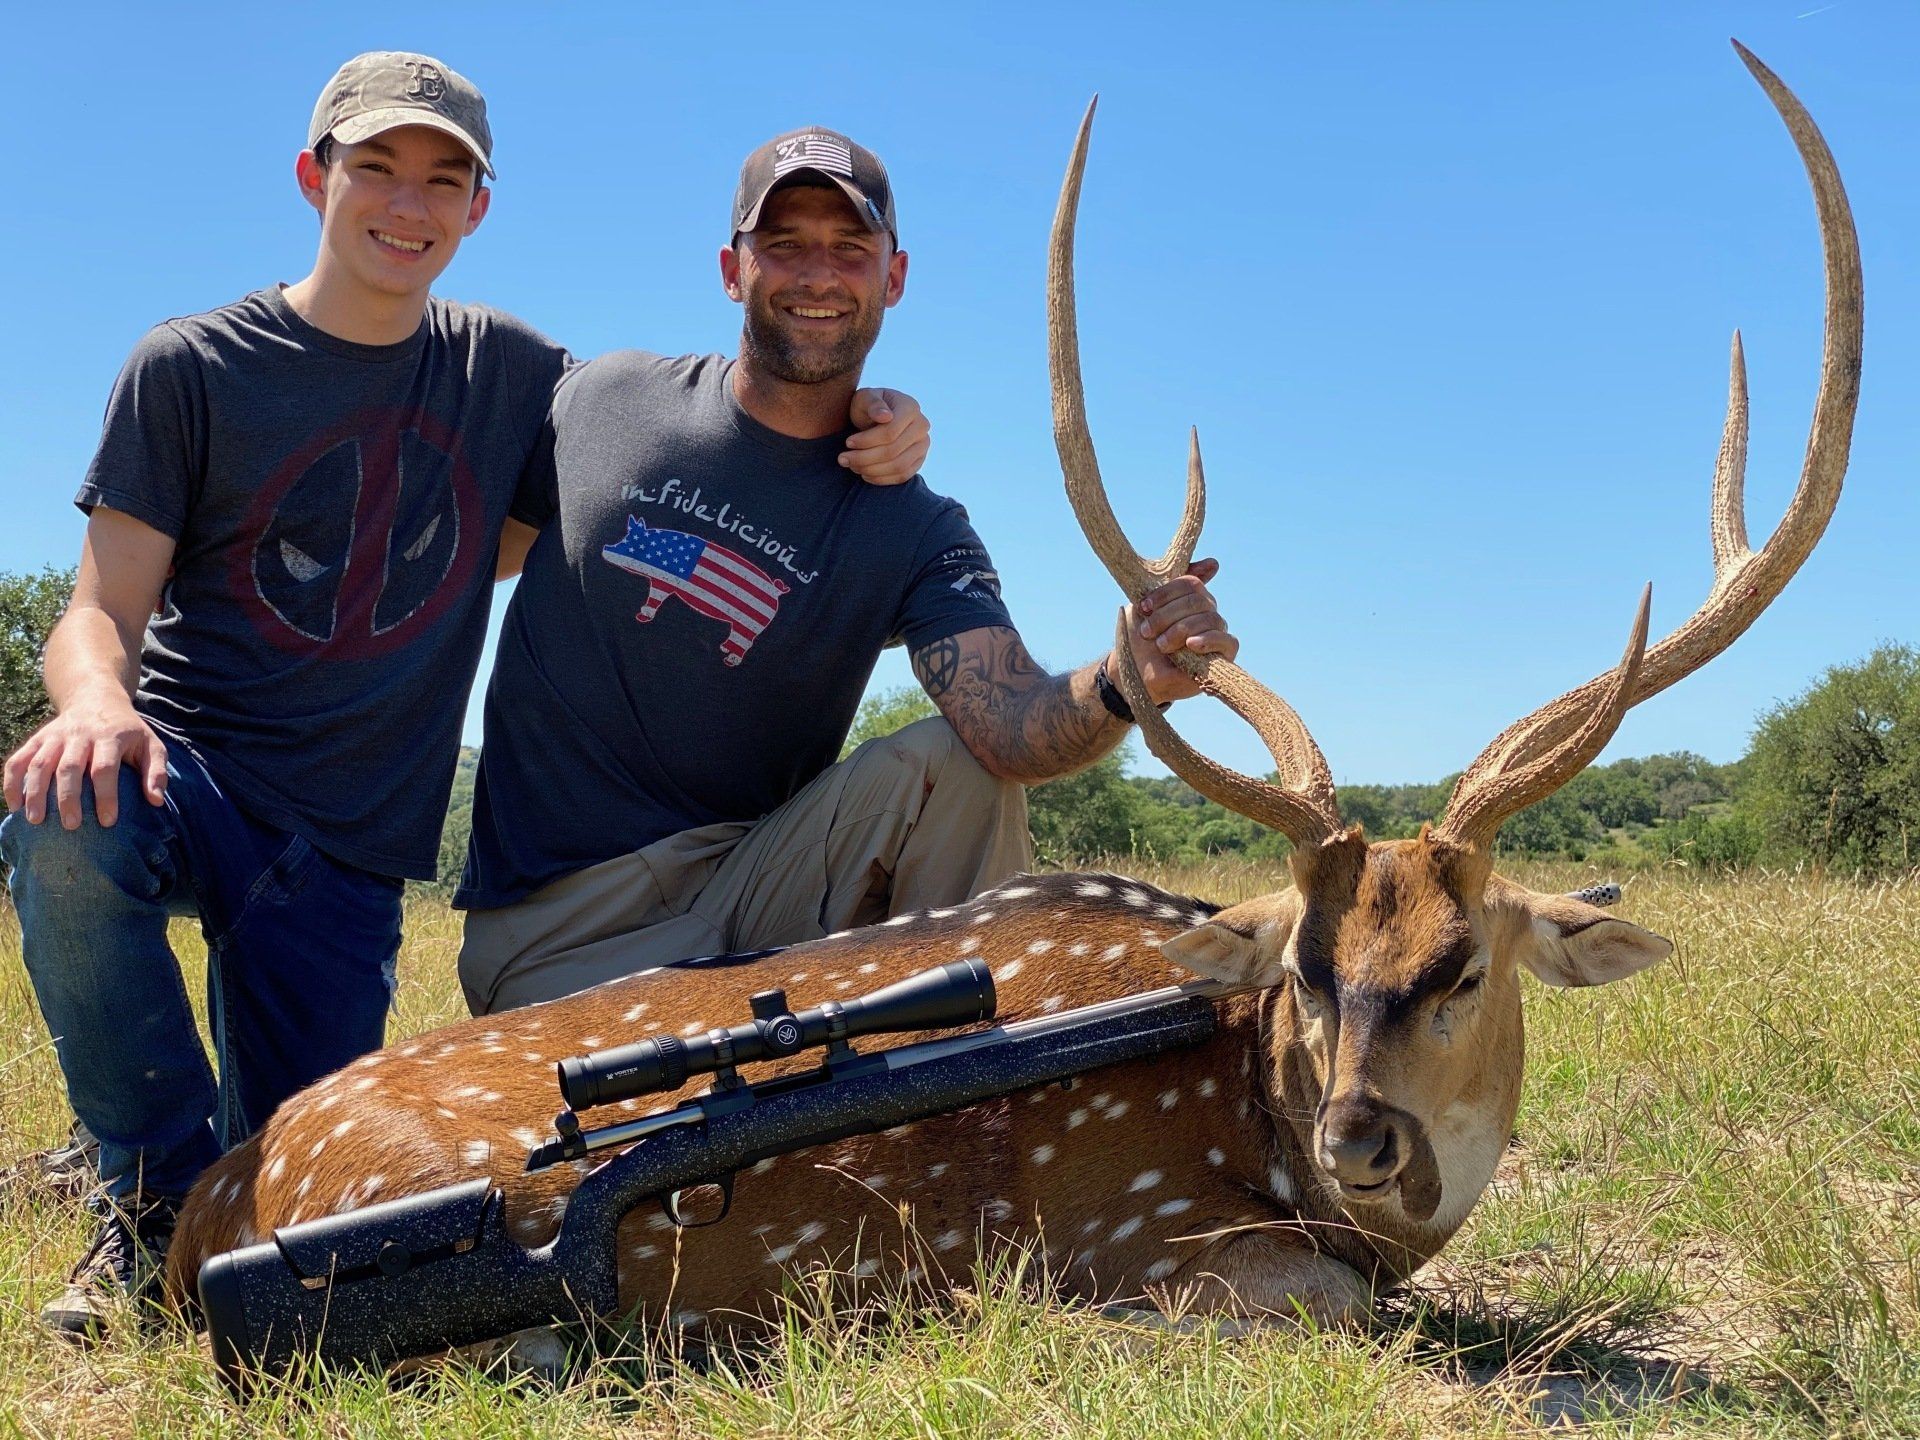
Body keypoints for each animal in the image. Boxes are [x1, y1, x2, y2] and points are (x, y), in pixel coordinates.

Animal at [166, 42, 1859, 1342]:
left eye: (1461, 967)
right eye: (1308, 968)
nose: (1360, 1136)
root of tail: (213, 1202)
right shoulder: (1141, 1235)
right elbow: (1327, 1300)